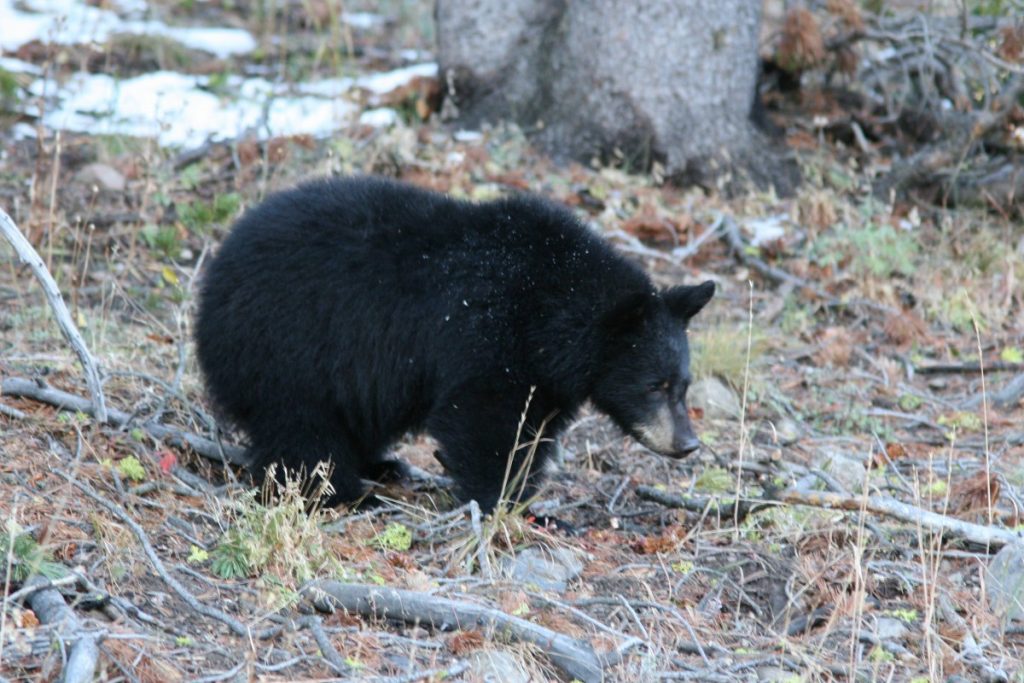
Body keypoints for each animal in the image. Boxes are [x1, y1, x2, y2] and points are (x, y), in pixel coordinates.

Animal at [195, 176, 714, 513]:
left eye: (684, 384)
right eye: (654, 384)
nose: (688, 444)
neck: (551, 304)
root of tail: (215, 274)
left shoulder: (546, 373)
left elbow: (533, 426)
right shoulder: (487, 332)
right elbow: (484, 418)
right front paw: (503, 501)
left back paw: (384, 465)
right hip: (290, 346)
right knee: (303, 431)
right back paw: (346, 492)